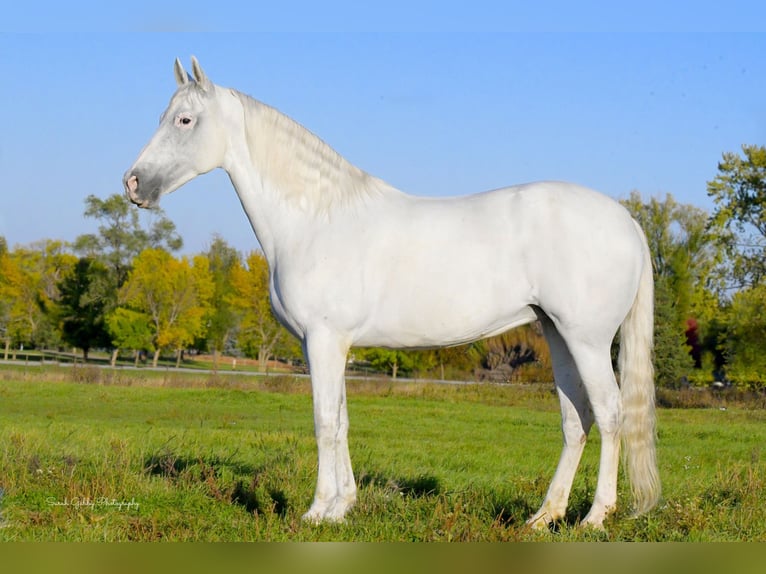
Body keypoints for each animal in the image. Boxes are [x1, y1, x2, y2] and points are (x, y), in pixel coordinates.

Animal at [124, 58, 660, 532]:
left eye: (184, 120)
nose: (133, 183)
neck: (316, 218)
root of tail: (627, 221)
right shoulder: (329, 345)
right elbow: (342, 419)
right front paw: (342, 508)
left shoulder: (323, 339)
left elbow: (324, 421)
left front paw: (316, 512)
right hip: (557, 334)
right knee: (576, 419)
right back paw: (544, 516)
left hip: (587, 340)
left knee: (610, 414)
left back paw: (595, 517)